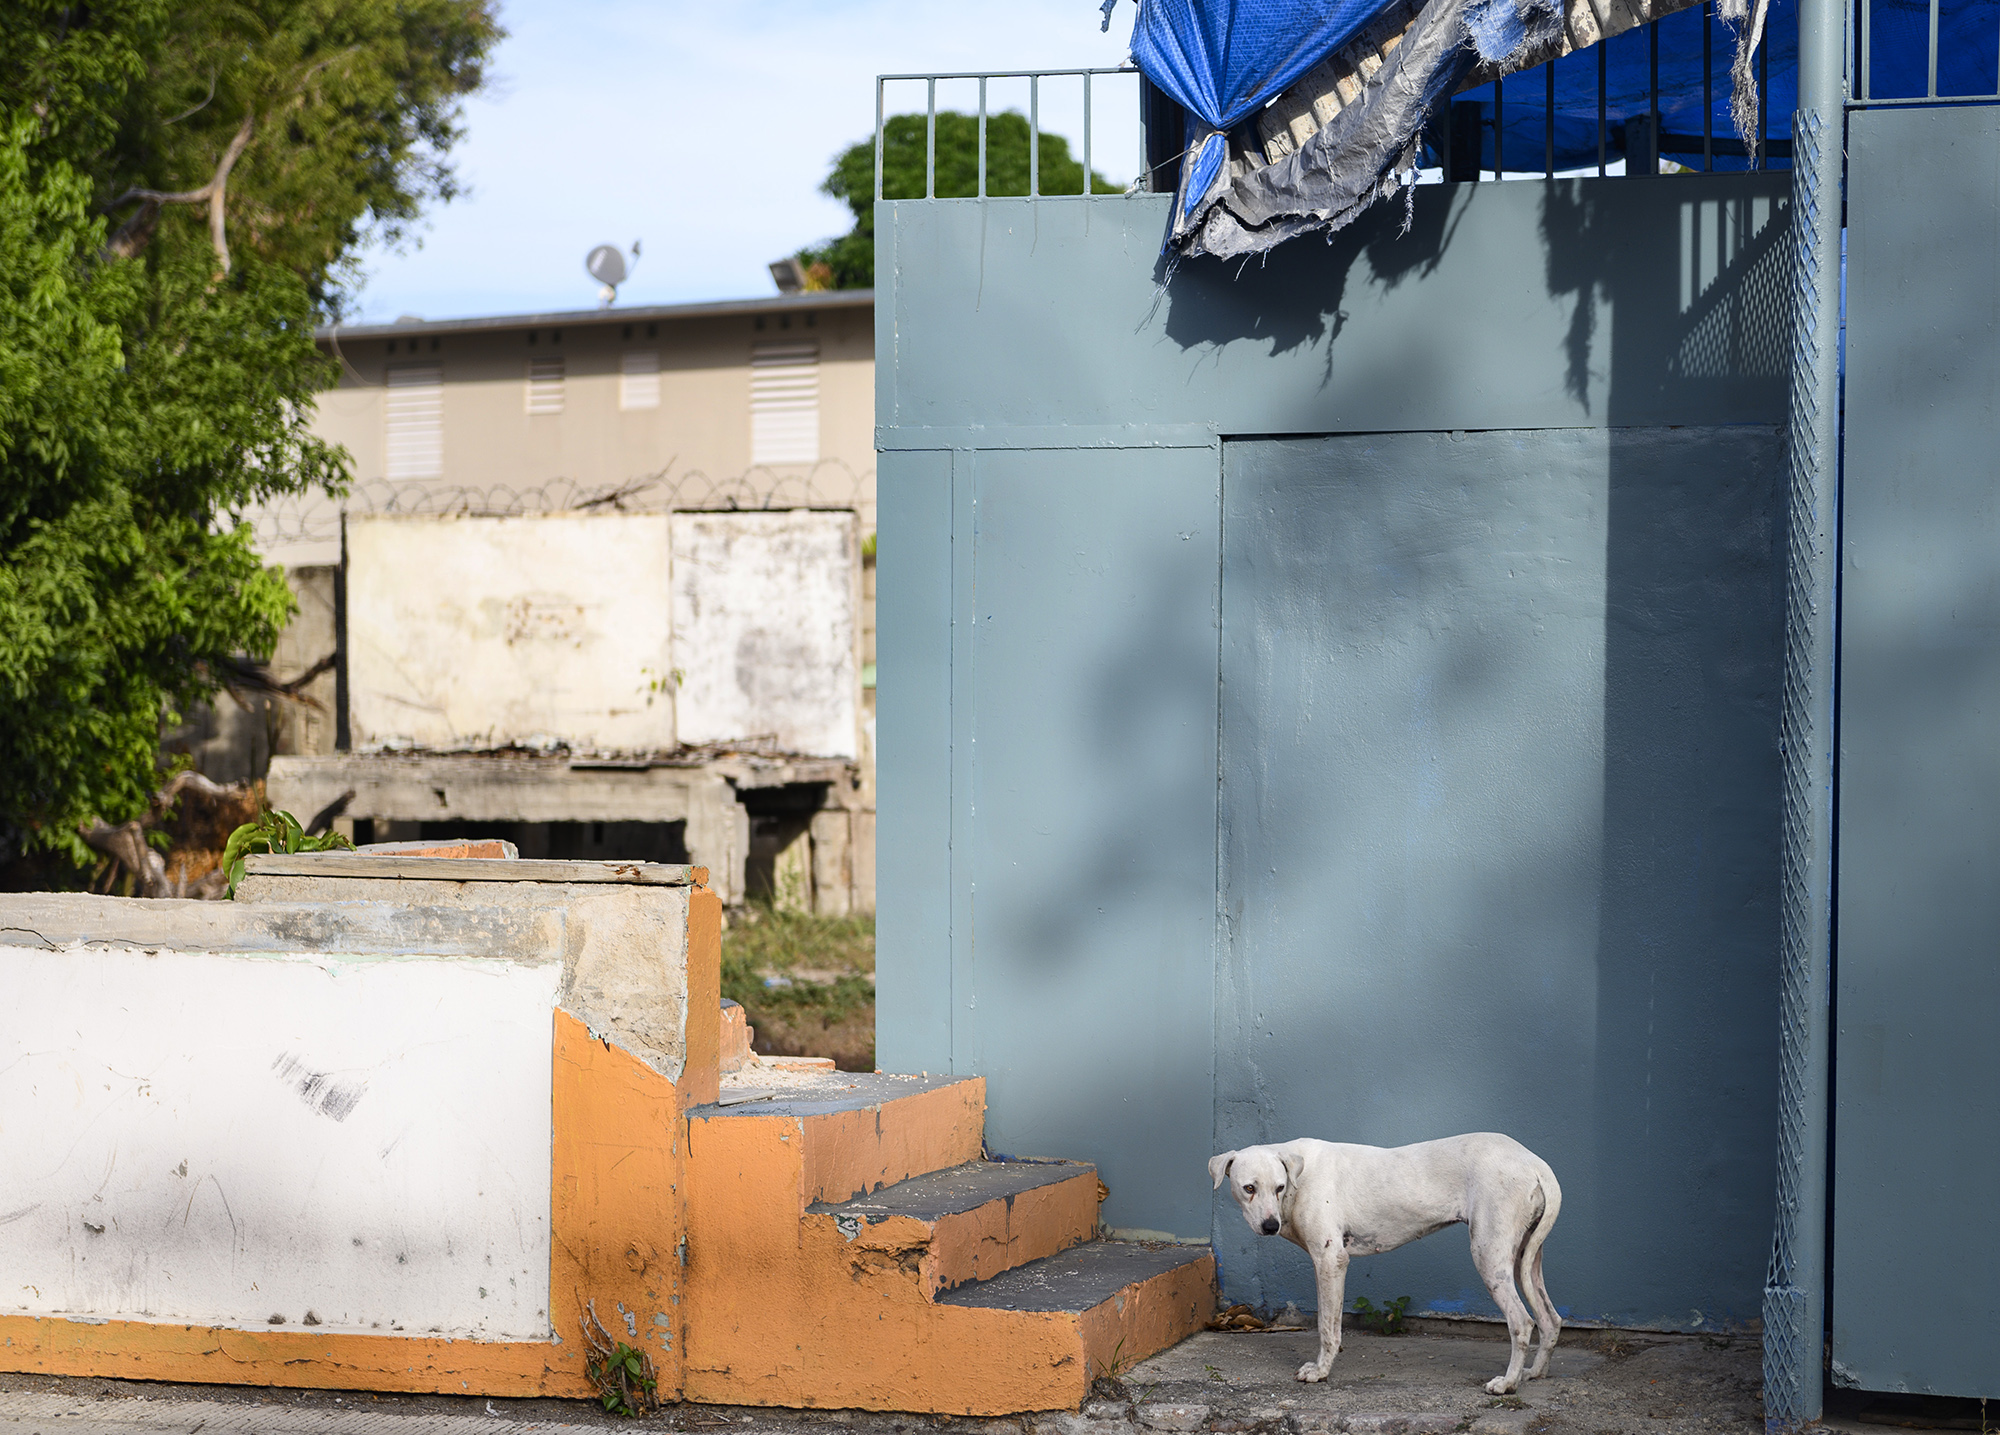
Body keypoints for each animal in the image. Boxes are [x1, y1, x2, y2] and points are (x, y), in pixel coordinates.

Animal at [1216, 1135, 1560, 1391]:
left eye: (1279, 1187)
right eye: (1249, 1188)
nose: (1270, 1226)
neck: (1298, 1175)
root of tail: (1534, 1162)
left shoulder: (1330, 1260)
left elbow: (1327, 1326)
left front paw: (1321, 1371)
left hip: (1489, 1254)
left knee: (1522, 1322)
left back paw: (1508, 1383)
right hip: (1525, 1258)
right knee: (1550, 1319)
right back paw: (1534, 1373)